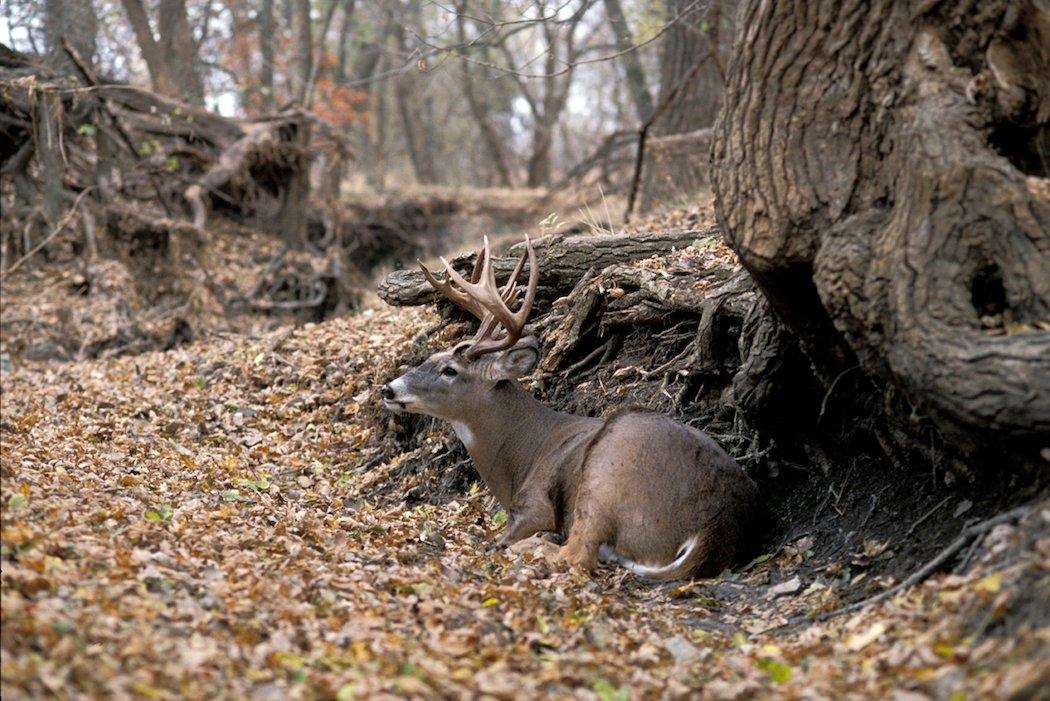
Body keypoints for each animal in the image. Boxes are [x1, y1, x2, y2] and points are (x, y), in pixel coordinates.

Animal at [381, 236, 759, 581]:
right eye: (430, 357)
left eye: (450, 370)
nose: (388, 389)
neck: (519, 456)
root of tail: (711, 529)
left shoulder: (534, 506)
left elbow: (501, 539)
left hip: (607, 472)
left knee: (577, 554)